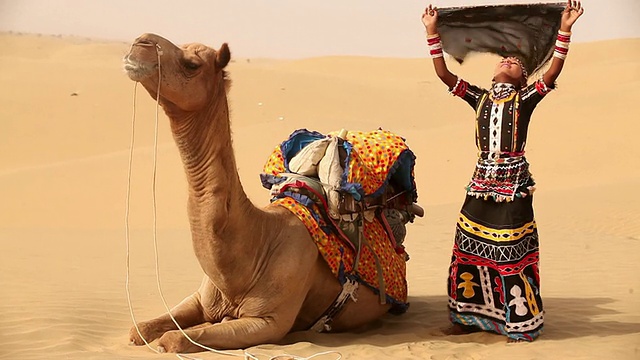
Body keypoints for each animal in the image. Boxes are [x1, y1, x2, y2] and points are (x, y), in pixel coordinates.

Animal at [122, 32, 418, 352]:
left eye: (192, 63)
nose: (140, 43)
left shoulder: (268, 322)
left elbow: (173, 339)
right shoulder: (199, 300)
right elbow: (139, 329)